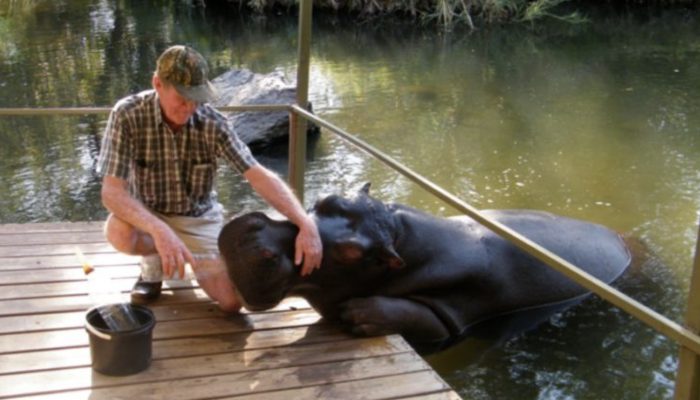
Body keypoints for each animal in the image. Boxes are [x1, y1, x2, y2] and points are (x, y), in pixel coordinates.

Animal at [218, 184, 631, 353]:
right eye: (326, 199)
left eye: (351, 252)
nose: (252, 236)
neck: (403, 241)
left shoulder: (456, 311)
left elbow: (429, 320)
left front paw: (359, 313)